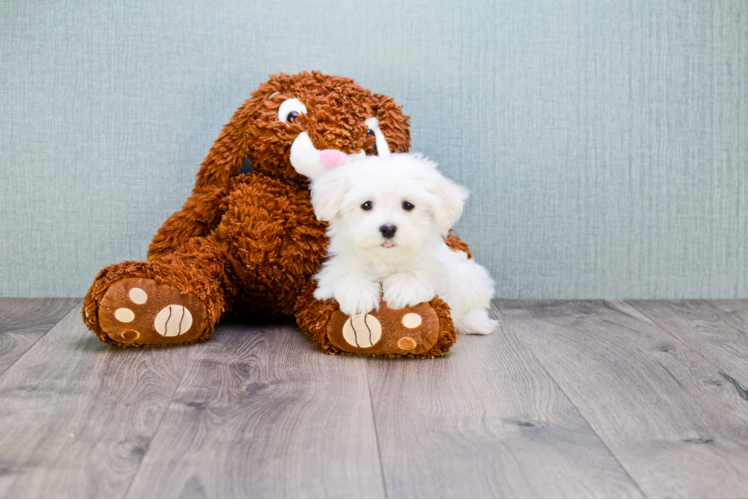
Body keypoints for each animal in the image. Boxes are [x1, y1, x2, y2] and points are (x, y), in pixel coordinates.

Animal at [310, 150, 496, 334]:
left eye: (408, 205)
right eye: (366, 205)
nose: (388, 229)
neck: (387, 258)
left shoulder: (437, 269)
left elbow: (422, 273)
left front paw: (403, 288)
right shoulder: (334, 272)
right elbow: (346, 274)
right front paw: (358, 293)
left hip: (472, 276)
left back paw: (475, 322)